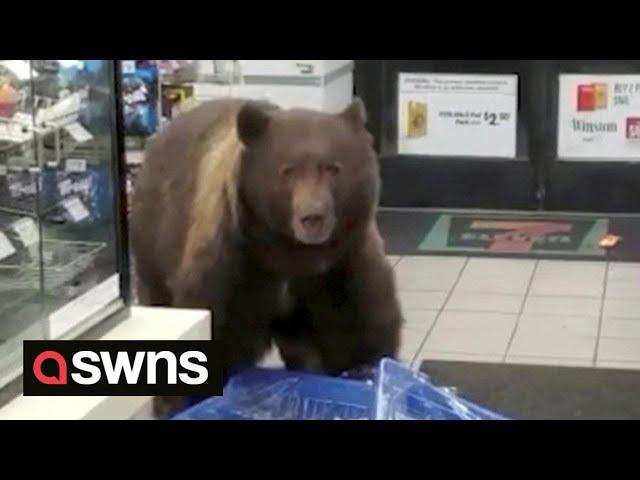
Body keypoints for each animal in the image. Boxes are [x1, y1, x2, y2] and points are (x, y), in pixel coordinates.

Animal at [129, 97, 402, 416]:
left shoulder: (341, 266)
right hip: (154, 250)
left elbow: (358, 333)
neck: (287, 254)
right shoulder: (235, 268)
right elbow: (222, 338)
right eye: (288, 170)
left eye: (332, 168)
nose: (313, 217)